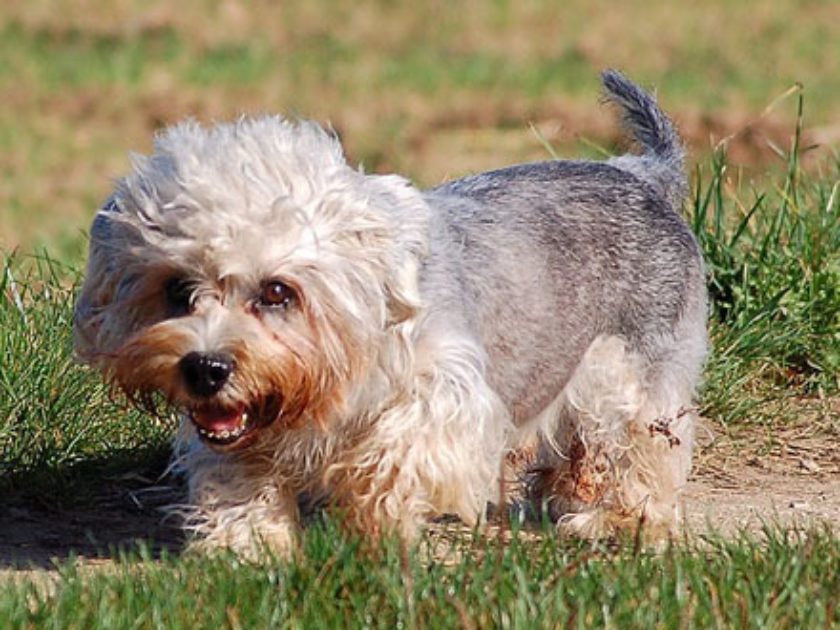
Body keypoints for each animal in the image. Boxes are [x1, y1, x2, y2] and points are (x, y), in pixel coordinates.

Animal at [75, 70, 708, 556]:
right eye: (177, 288)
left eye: (277, 291)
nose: (205, 369)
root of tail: (641, 174)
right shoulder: (235, 431)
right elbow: (237, 477)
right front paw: (247, 548)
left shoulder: (449, 397)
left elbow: (389, 457)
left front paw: (367, 528)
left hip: (630, 380)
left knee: (645, 455)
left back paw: (620, 522)